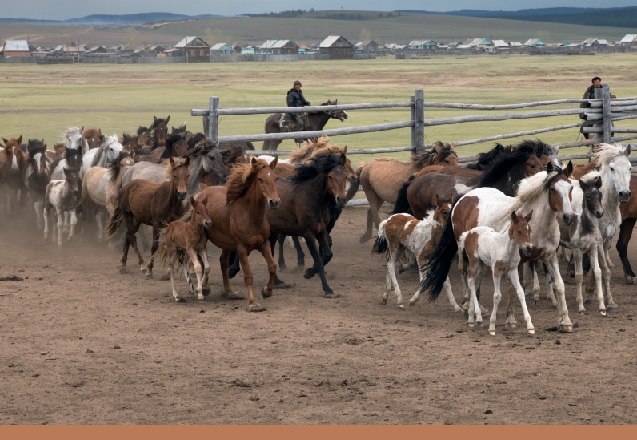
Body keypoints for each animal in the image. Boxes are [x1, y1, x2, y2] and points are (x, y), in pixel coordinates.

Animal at [196, 156, 280, 312]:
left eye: (275, 178)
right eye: (260, 179)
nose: (275, 202)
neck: (251, 215)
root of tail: (204, 191)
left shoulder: (264, 244)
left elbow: (272, 266)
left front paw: (267, 290)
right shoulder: (241, 248)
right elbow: (248, 275)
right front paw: (253, 303)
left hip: (227, 245)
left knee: (223, 262)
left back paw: (229, 292)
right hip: (203, 239)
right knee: (203, 263)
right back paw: (205, 288)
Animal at [422, 164, 576, 334]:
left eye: (571, 187)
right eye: (553, 189)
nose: (569, 217)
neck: (538, 225)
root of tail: (465, 197)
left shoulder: (550, 257)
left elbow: (559, 286)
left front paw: (565, 322)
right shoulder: (517, 261)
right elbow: (512, 288)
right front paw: (511, 319)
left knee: (477, 278)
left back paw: (479, 309)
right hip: (464, 250)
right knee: (465, 273)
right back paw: (467, 305)